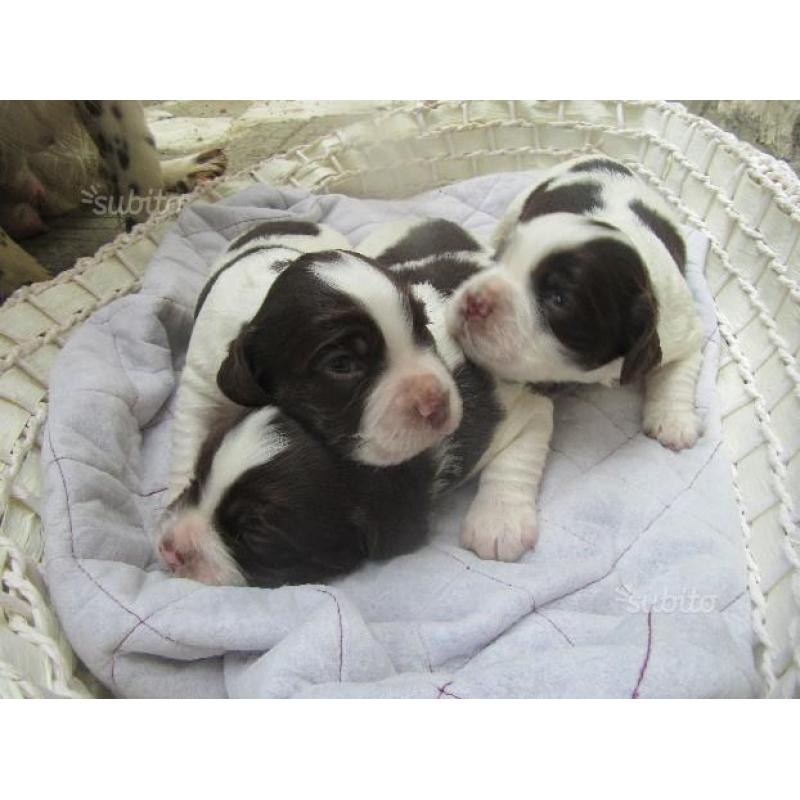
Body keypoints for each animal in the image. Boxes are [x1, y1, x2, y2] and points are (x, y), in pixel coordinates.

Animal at [446, 156, 704, 454]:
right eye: (499, 259)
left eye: (558, 299)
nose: (474, 300)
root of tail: (601, 157)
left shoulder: (682, 329)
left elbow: (678, 371)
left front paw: (673, 423)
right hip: (515, 207)